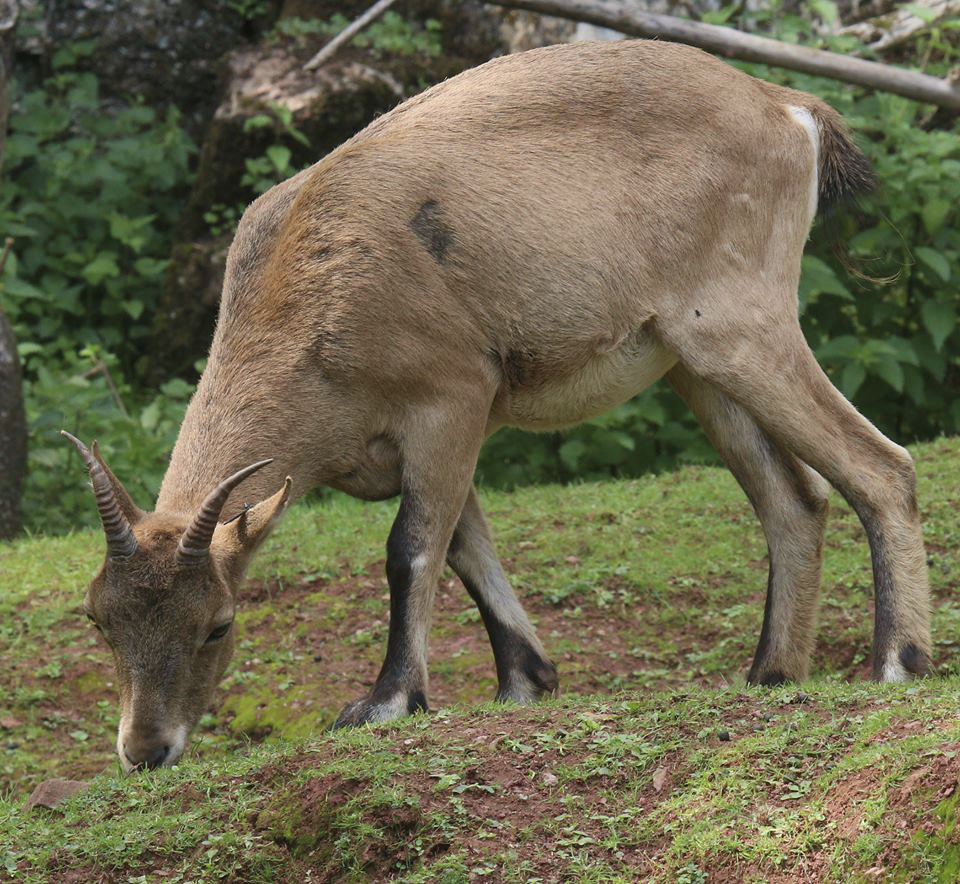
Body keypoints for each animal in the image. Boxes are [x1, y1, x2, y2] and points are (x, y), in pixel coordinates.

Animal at [66, 39, 932, 772]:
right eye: (100, 618)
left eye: (217, 623)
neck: (312, 285)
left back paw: (897, 663)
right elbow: (464, 543)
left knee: (881, 465)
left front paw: (387, 701)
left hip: (737, 325)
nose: (146, 751)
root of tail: (786, 108)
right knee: (794, 500)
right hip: (694, 366)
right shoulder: (409, 447)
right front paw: (524, 679)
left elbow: (410, 549)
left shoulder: (450, 399)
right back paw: (769, 674)